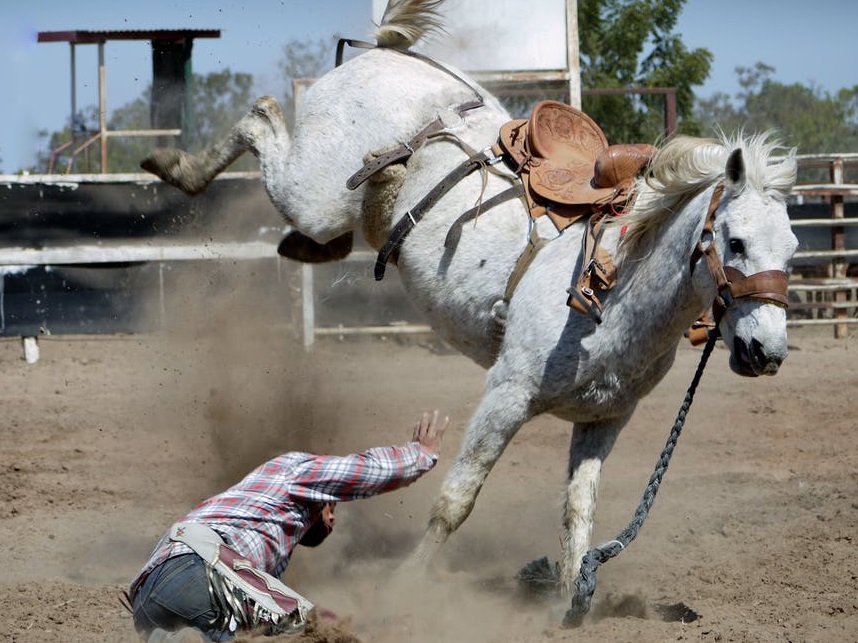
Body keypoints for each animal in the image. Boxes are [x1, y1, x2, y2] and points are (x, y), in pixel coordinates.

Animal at [140, 0, 796, 628]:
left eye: (791, 249)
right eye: (736, 242)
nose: (767, 352)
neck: (615, 289)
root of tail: (389, 53)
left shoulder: (605, 419)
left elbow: (577, 513)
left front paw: (569, 603)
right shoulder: (506, 394)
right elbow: (456, 500)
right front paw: (402, 590)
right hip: (314, 192)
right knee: (261, 116)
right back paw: (174, 166)